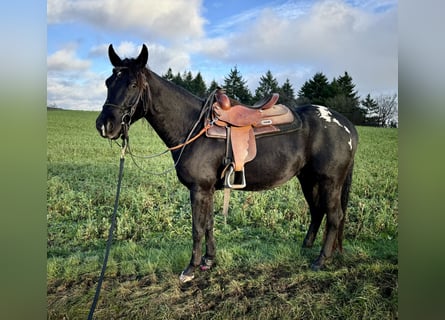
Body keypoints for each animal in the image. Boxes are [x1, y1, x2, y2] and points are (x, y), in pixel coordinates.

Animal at [94, 44, 358, 282]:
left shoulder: (199, 189)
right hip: (309, 180)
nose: (105, 125)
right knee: (318, 210)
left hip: (330, 182)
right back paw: (308, 247)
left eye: (133, 84)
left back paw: (321, 260)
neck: (193, 127)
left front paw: (191, 268)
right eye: (108, 82)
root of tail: (346, 124)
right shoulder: (208, 189)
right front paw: (209, 260)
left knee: (334, 215)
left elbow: (197, 228)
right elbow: (209, 224)